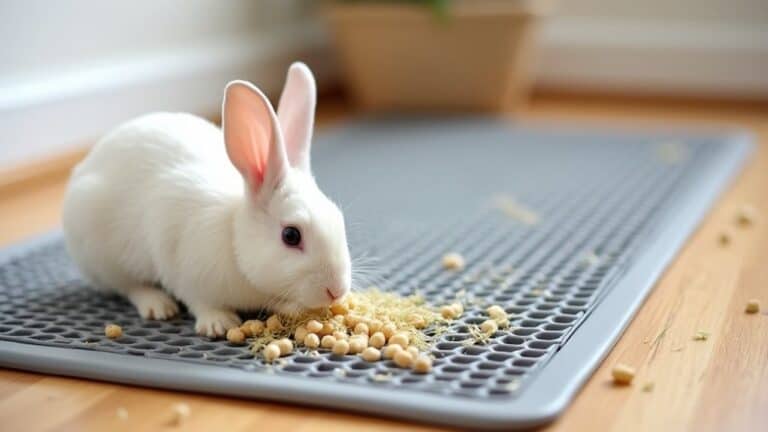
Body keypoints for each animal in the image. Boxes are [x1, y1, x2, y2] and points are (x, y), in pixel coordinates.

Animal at [61, 62, 352, 337]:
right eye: (291, 235)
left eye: (339, 218)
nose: (336, 290)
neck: (233, 239)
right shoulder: (176, 258)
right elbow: (197, 299)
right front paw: (218, 323)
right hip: (103, 255)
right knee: (127, 285)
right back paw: (158, 305)